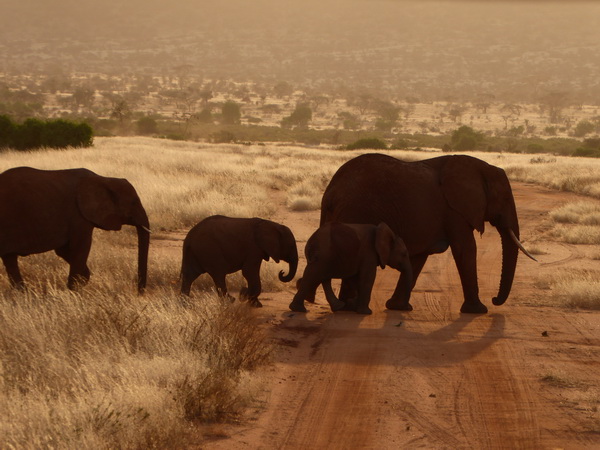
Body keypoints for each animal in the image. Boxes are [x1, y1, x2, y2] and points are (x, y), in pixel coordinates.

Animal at [0, 167, 151, 294]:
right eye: (133, 203)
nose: (139, 293)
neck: (104, 179)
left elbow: (63, 250)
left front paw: (81, 280)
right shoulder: (78, 216)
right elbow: (80, 247)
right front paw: (74, 291)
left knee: (10, 260)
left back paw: (22, 294)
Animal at [322, 153, 536, 314]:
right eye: (505, 198)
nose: (494, 299)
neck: (481, 166)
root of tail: (331, 191)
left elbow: (419, 257)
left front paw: (398, 307)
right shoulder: (453, 210)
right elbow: (465, 248)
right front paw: (478, 311)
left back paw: (346, 306)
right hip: (356, 212)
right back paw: (349, 307)